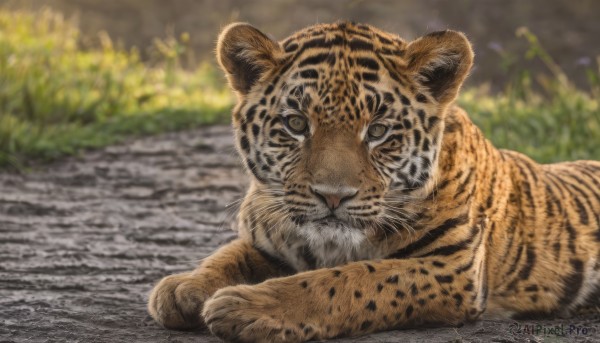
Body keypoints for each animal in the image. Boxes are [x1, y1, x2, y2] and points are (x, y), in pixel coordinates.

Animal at [146, 22, 600, 343]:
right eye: (296, 124)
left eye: (379, 131)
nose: (332, 197)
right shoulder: (268, 239)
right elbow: (229, 255)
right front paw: (184, 287)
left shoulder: (451, 268)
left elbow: (351, 280)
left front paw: (248, 307)